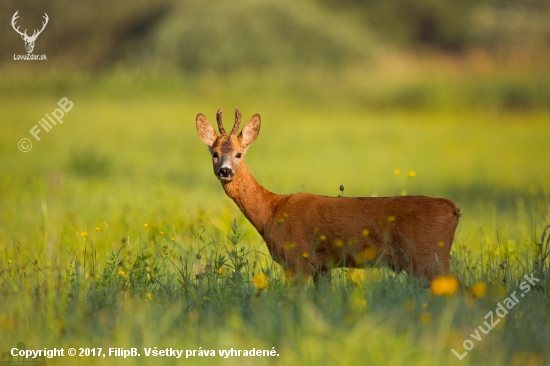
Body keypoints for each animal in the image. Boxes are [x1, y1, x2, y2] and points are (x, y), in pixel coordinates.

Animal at [196, 107, 464, 284]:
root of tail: (453, 208)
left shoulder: (299, 259)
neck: (272, 211)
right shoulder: (321, 267)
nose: (225, 170)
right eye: (215, 153)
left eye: (239, 153)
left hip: (427, 255)